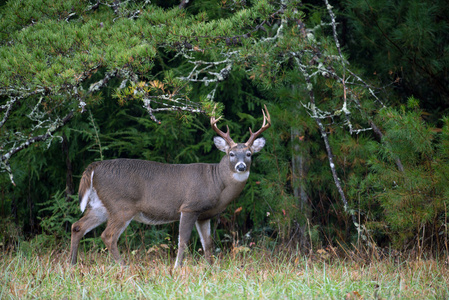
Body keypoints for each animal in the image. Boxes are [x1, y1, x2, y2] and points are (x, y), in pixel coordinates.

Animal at [70, 105, 270, 268]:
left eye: (249, 154)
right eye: (231, 154)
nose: (241, 166)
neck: (216, 183)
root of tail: (95, 167)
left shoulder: (204, 215)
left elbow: (208, 244)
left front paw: (211, 269)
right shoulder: (189, 207)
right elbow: (183, 241)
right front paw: (177, 268)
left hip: (100, 205)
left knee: (77, 226)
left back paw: (72, 265)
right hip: (121, 205)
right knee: (108, 236)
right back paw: (124, 267)